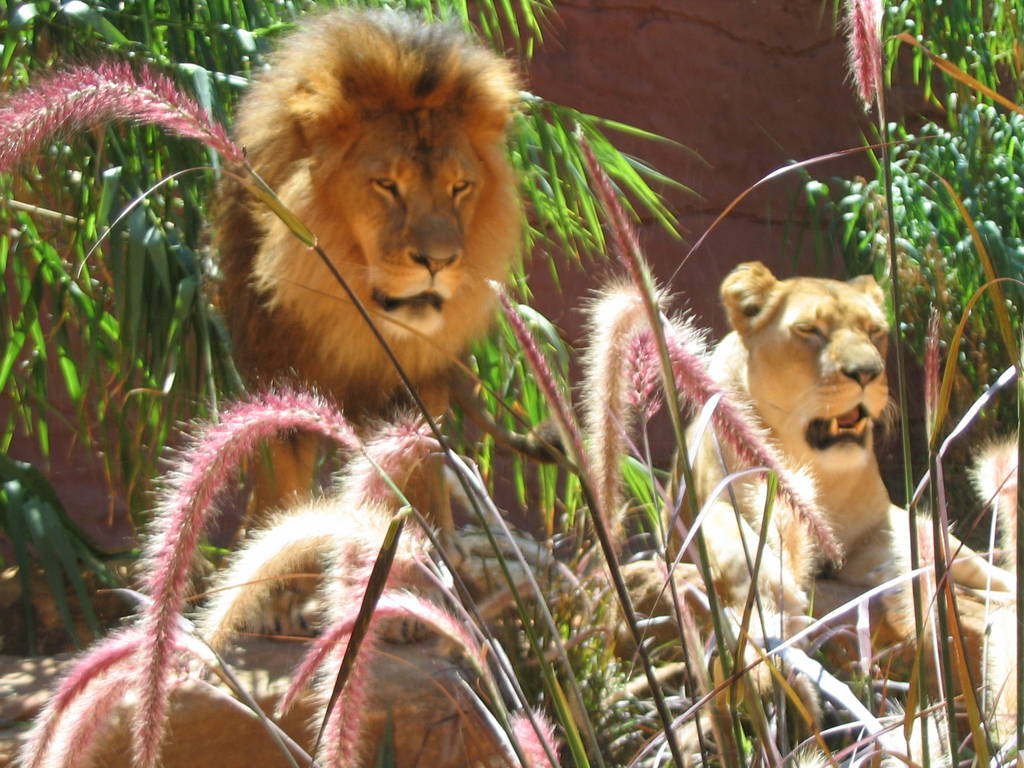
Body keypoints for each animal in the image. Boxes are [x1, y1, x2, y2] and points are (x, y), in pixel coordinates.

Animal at [213, 10, 522, 514]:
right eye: (387, 185)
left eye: (460, 187)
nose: (439, 261)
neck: (357, 326)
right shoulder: (278, 392)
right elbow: (282, 501)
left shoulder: (417, 403)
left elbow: (420, 500)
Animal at [687, 261, 1015, 633]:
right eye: (809, 329)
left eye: (874, 331)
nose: (867, 373)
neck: (816, 467)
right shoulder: (706, 506)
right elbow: (735, 544)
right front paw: (776, 602)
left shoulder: (877, 527)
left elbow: (900, 549)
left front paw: (906, 591)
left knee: (986, 573)